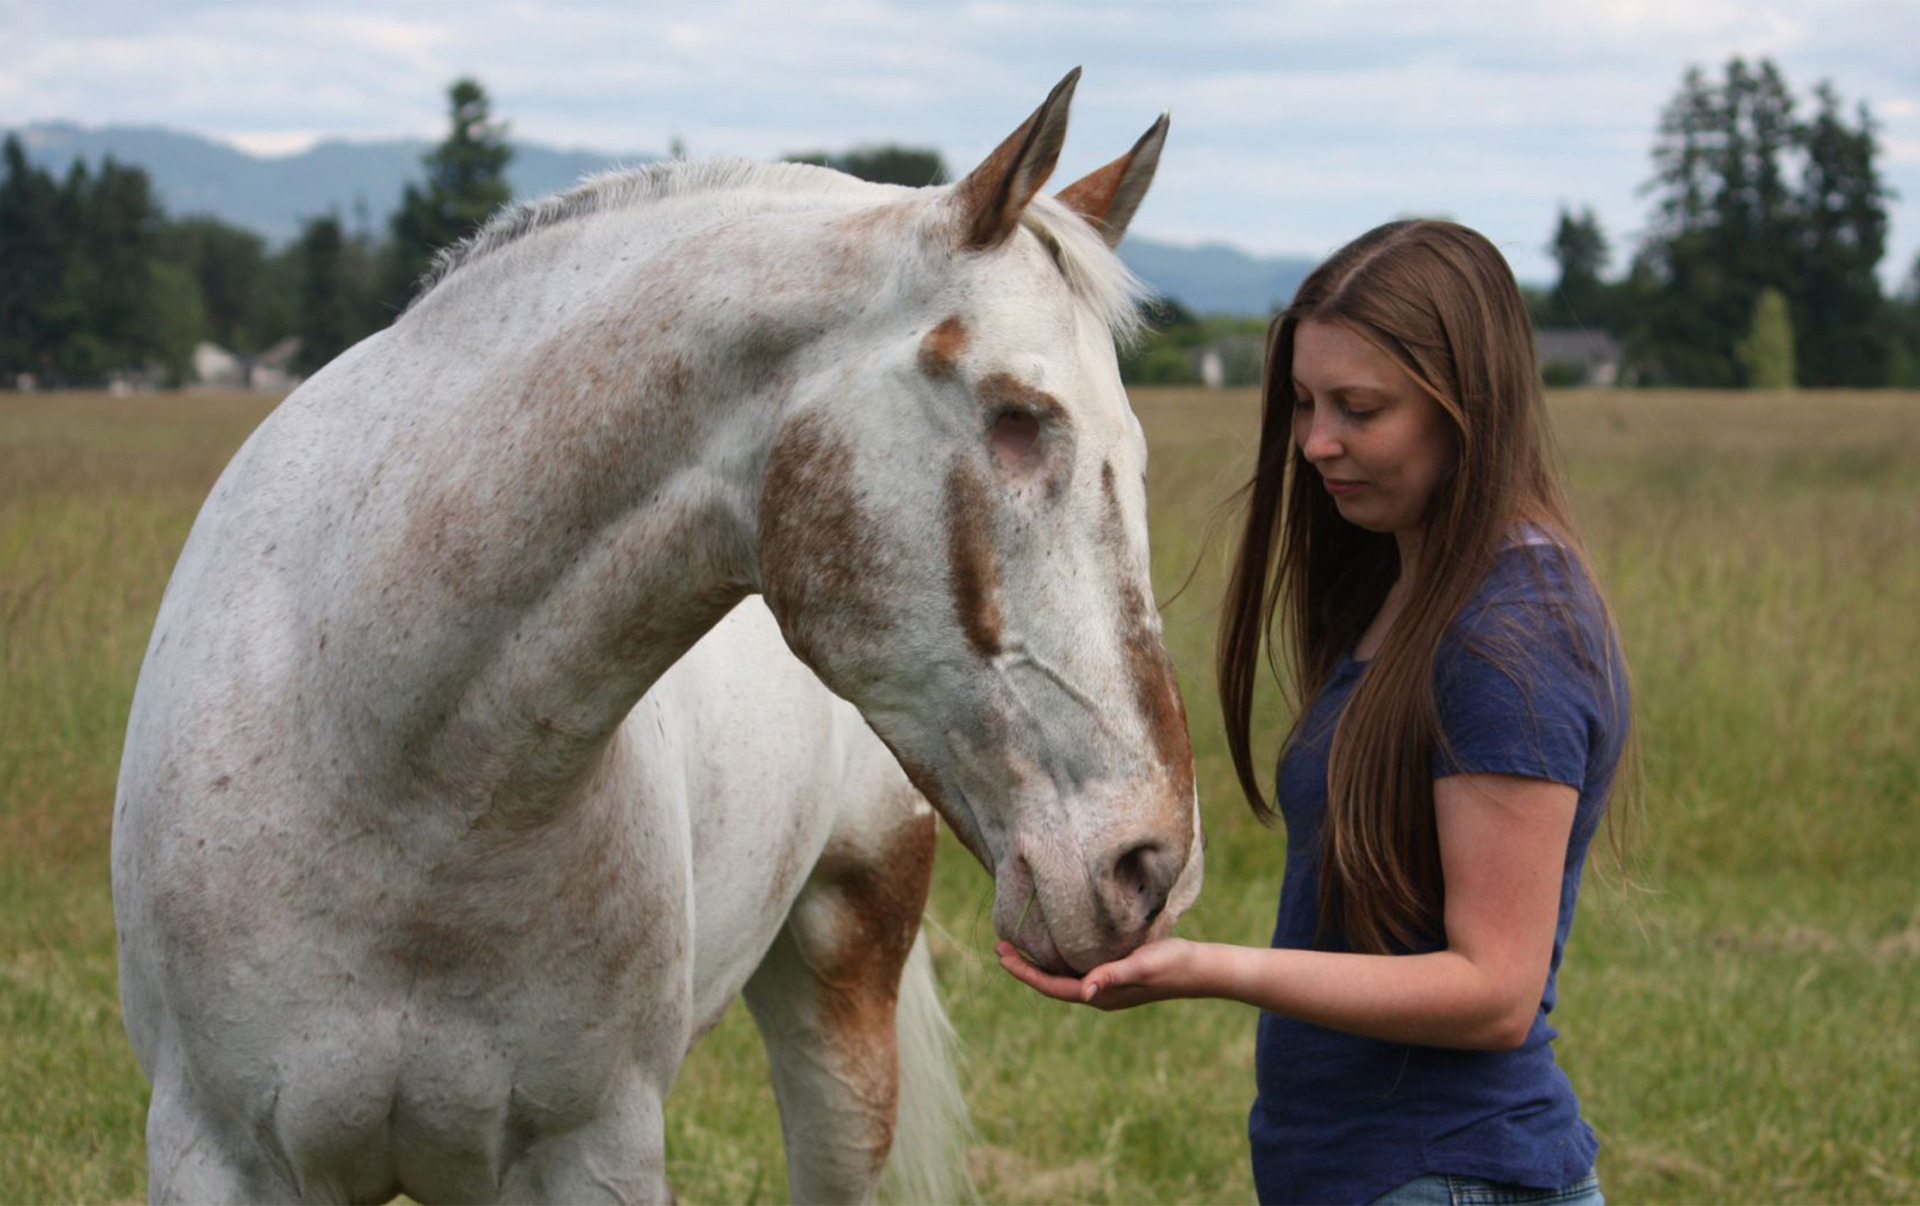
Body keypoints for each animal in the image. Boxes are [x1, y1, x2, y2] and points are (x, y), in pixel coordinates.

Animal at [112, 68, 1201, 1203]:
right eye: (1017, 416)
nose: (1150, 867)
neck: (399, 777)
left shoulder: (597, 1150)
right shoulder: (215, 1152)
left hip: (842, 993)